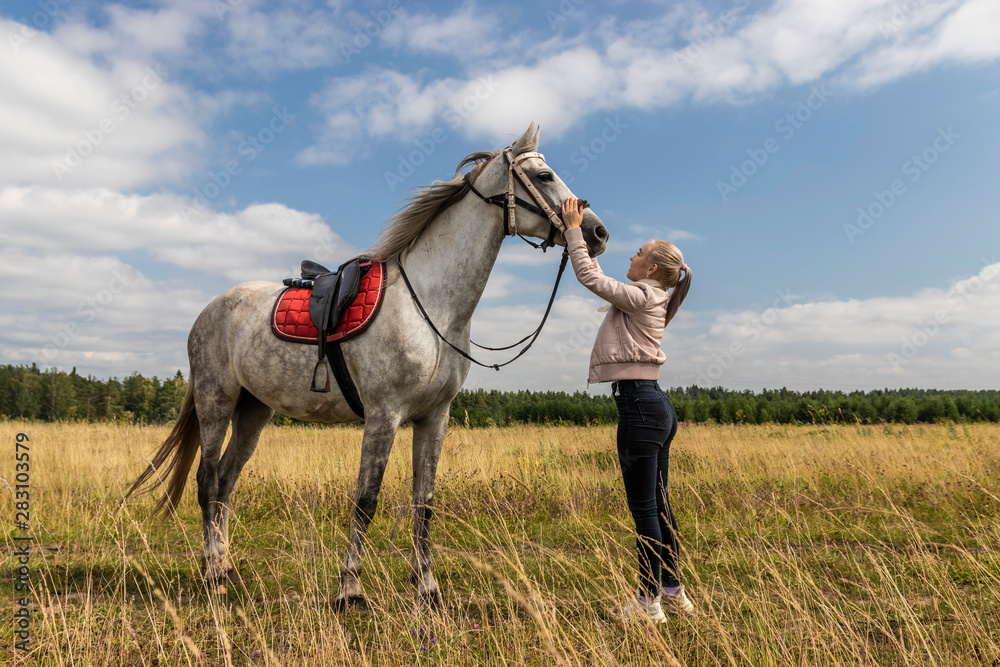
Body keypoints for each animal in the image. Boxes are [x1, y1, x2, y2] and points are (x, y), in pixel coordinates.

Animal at [125, 122, 608, 608]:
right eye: (544, 176)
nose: (597, 232)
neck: (430, 305)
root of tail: (209, 310)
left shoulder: (434, 418)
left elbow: (424, 502)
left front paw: (427, 587)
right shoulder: (383, 416)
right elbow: (366, 500)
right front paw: (350, 588)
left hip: (253, 410)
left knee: (225, 483)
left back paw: (228, 570)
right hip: (216, 403)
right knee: (207, 483)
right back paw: (212, 576)